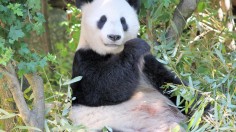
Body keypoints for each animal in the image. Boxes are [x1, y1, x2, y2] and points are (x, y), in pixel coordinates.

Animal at [69, 0, 187, 131]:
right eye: (102, 19)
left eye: (123, 21)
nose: (114, 36)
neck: (112, 52)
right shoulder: (83, 60)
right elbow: (101, 86)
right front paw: (136, 46)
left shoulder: (146, 63)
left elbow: (171, 85)